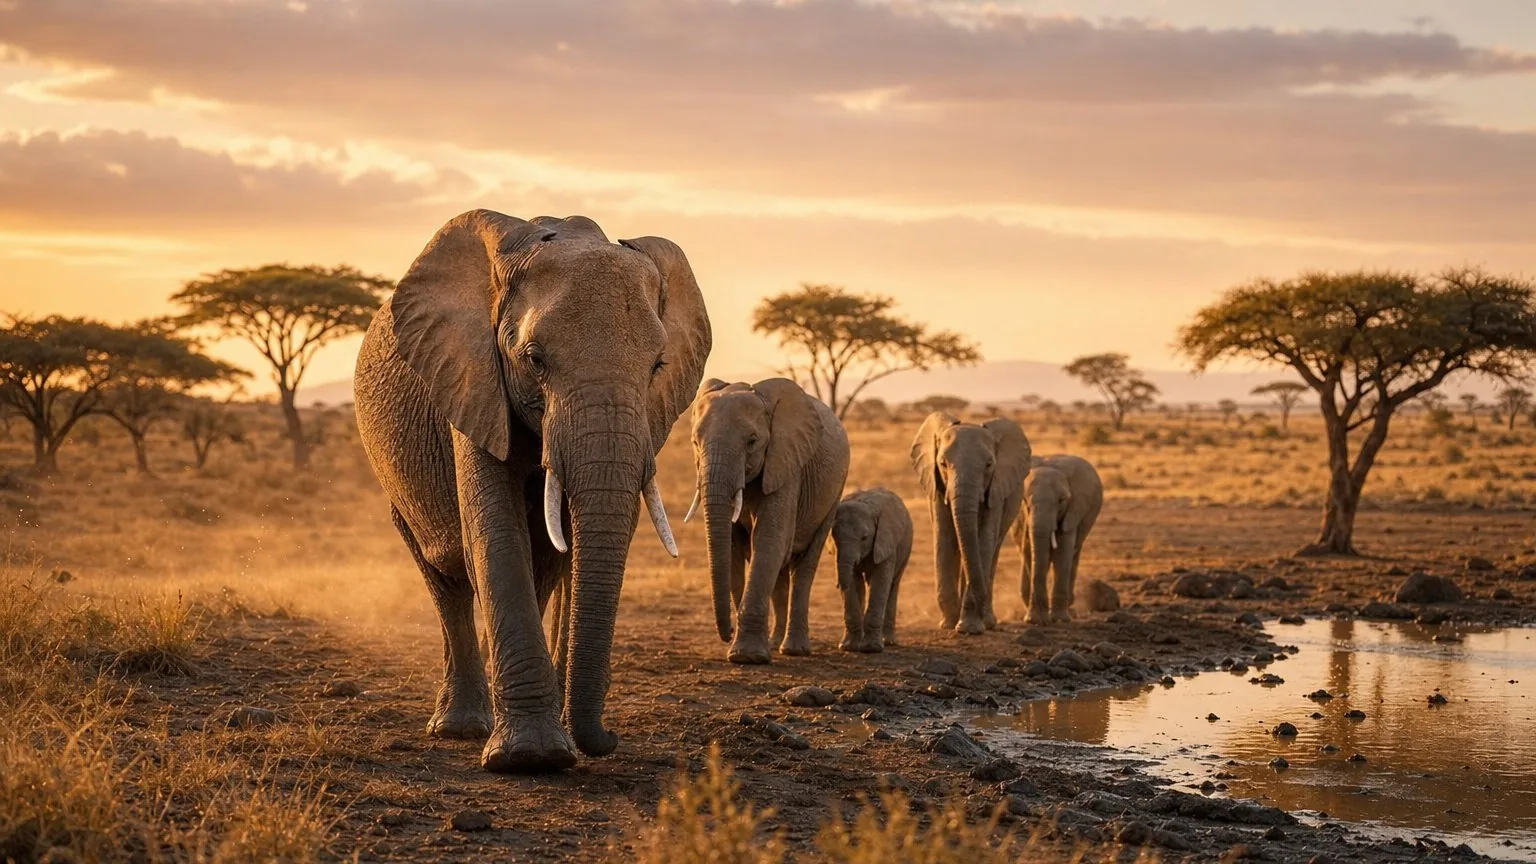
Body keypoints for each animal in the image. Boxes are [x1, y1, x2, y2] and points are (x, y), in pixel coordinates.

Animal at [353, 210, 710, 772]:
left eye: (658, 366)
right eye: (534, 359)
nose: (608, 739)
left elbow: (558, 544)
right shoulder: (472, 376)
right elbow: (497, 534)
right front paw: (532, 758)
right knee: (444, 576)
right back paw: (460, 727)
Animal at [685, 378, 849, 664]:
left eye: (752, 442)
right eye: (695, 442)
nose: (727, 631)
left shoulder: (786, 463)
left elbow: (769, 538)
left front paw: (747, 657)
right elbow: (733, 548)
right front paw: (743, 649)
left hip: (834, 493)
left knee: (804, 568)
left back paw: (794, 650)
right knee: (780, 571)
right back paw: (774, 643)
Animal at [830, 487, 913, 653]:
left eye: (864, 538)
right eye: (834, 536)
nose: (838, 584)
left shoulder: (886, 542)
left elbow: (880, 581)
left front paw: (871, 649)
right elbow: (854, 582)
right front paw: (848, 647)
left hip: (905, 548)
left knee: (893, 585)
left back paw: (888, 642)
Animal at [910, 413, 1032, 635]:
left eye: (989, 465)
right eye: (942, 464)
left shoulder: (997, 487)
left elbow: (984, 541)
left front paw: (970, 628)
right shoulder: (937, 485)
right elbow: (945, 537)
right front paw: (949, 624)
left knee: (993, 550)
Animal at [1015, 455, 1104, 624]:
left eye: (1061, 500)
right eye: (1024, 501)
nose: (1036, 620)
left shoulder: (1073, 510)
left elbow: (1063, 551)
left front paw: (1059, 619)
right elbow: (1030, 550)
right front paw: (1034, 619)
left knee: (1074, 554)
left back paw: (1069, 607)